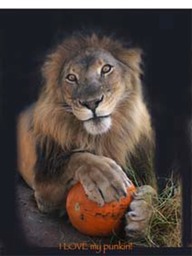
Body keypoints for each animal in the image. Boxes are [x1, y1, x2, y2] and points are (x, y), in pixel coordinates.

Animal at [17, 32, 157, 238]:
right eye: (71, 77)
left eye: (106, 69)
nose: (91, 103)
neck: (104, 138)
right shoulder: (44, 188)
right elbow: (78, 158)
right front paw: (106, 177)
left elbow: (155, 190)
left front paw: (142, 216)